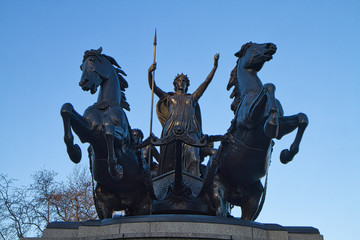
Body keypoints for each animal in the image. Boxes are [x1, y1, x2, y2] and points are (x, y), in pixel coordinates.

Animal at [60, 47, 150, 218]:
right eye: (81, 67)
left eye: (93, 60)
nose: (83, 83)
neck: (105, 106)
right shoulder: (89, 132)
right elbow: (66, 108)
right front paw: (74, 152)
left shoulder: (122, 139)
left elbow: (109, 131)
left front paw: (116, 170)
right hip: (103, 203)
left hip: (143, 205)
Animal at [202, 42, 310, 220]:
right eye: (251, 47)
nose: (271, 46)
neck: (251, 92)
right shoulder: (249, 119)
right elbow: (269, 86)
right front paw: (271, 122)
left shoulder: (281, 128)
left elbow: (302, 118)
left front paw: (287, 154)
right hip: (217, 189)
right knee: (220, 211)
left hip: (254, 197)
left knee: (247, 218)